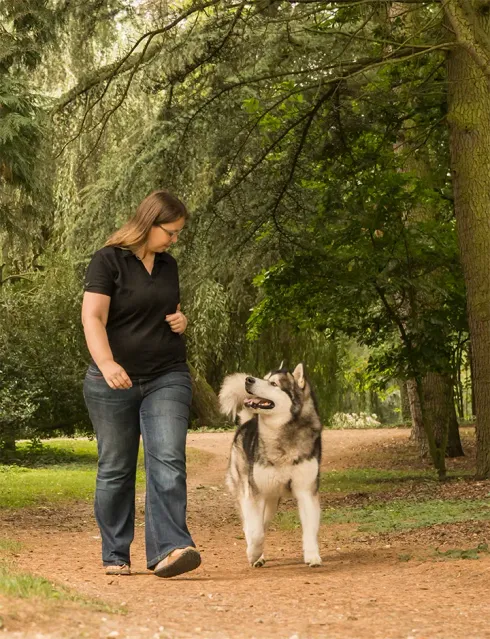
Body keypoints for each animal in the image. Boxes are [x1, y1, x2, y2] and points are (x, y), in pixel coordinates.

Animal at [218, 362, 322, 568]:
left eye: (273, 383)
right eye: (264, 377)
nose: (248, 379)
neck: (282, 436)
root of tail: (248, 421)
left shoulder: (307, 491)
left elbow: (310, 530)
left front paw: (312, 556)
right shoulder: (254, 494)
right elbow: (255, 532)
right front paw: (253, 554)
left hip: (272, 500)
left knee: (263, 523)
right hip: (246, 490)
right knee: (250, 525)